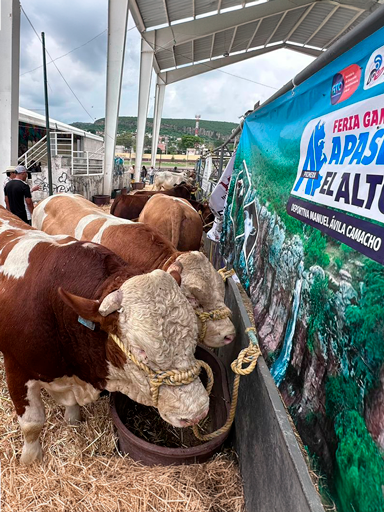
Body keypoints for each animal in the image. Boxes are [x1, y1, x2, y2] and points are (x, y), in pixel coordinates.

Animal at [0, 207, 210, 464]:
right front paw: (31, 460)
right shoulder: (17, 368)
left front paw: (73, 420)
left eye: (193, 336)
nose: (197, 411)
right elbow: (32, 424)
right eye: (140, 350)